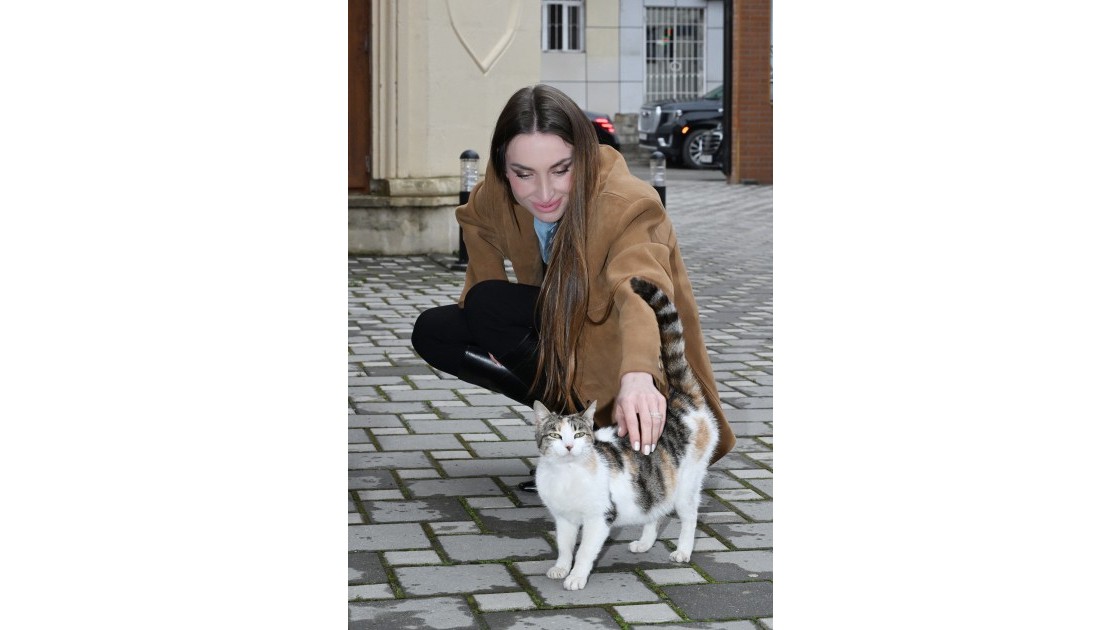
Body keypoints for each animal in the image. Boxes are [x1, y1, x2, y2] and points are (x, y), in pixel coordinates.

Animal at [531, 276, 720, 591]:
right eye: (555, 436)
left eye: (579, 435)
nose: (569, 446)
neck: (567, 475)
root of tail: (680, 400)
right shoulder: (564, 518)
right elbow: (565, 546)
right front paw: (560, 568)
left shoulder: (599, 518)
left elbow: (585, 551)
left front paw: (576, 577)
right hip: (655, 482)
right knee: (655, 507)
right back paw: (644, 543)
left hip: (688, 482)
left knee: (690, 515)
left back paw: (683, 551)